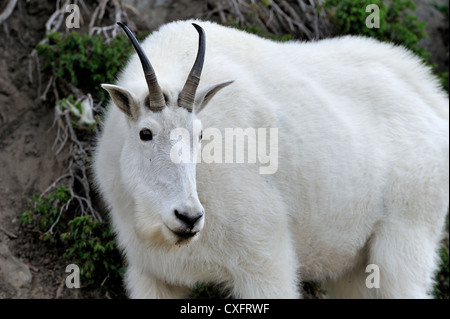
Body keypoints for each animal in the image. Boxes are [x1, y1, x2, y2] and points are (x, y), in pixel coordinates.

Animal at [93, 20, 448, 300]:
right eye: (145, 133)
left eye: (200, 134)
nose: (188, 217)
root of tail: (432, 101)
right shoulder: (154, 276)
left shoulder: (264, 261)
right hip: (356, 268)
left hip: (407, 237)